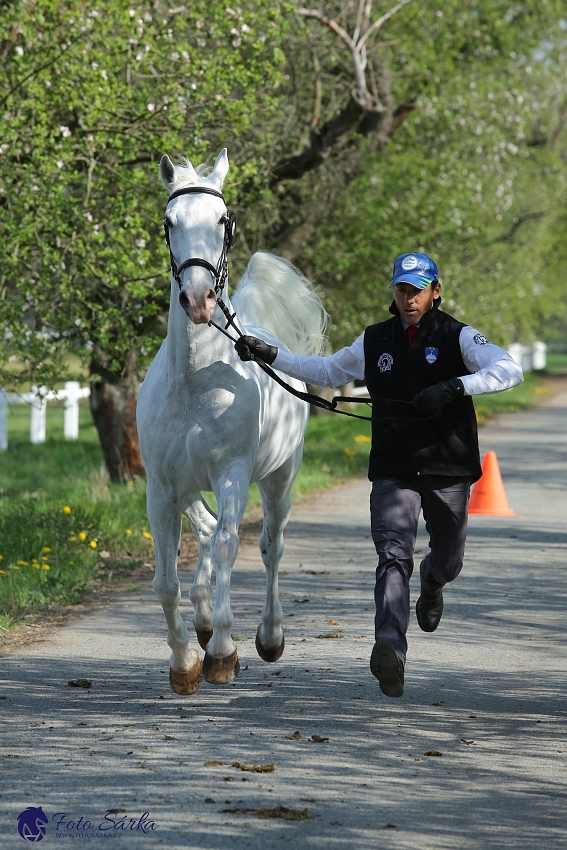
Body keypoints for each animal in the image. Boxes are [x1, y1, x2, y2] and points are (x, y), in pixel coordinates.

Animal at [135, 151, 326, 696]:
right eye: (168, 222)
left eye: (223, 220)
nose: (199, 299)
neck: (196, 381)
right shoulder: (161, 487)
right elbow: (166, 581)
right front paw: (184, 662)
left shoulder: (232, 474)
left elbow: (227, 548)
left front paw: (222, 651)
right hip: (187, 489)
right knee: (202, 532)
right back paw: (201, 622)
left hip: (279, 479)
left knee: (269, 547)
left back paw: (267, 634)